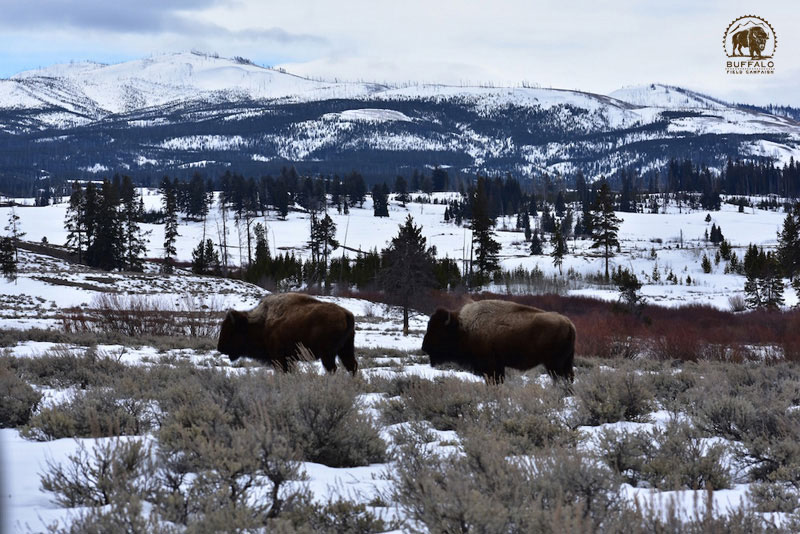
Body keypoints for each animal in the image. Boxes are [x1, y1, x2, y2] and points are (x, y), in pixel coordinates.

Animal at [217, 293, 357, 374]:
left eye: (231, 330)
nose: (220, 348)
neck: (262, 322)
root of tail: (346, 314)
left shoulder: (279, 358)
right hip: (345, 350)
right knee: (352, 366)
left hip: (328, 354)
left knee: (333, 369)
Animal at [421, 299, 576, 383]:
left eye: (438, 330)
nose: (424, 347)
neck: (463, 327)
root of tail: (569, 323)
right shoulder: (498, 366)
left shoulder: (490, 366)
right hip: (565, 363)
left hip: (554, 365)